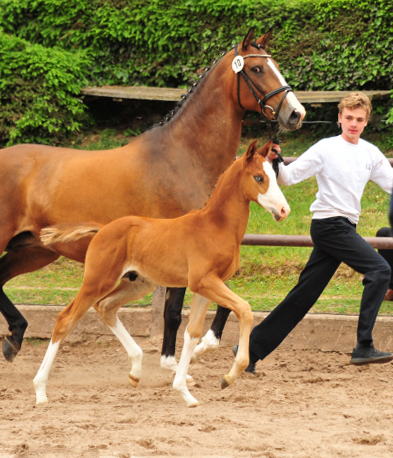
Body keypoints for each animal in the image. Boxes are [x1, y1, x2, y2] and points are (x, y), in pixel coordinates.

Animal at [35, 140, 290, 408]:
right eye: (259, 177)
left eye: (274, 175)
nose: (284, 210)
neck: (215, 226)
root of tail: (102, 229)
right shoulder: (204, 281)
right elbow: (244, 310)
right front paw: (229, 376)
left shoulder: (205, 287)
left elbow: (192, 333)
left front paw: (185, 391)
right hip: (97, 280)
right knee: (66, 319)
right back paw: (40, 391)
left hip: (137, 284)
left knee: (105, 306)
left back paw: (136, 371)